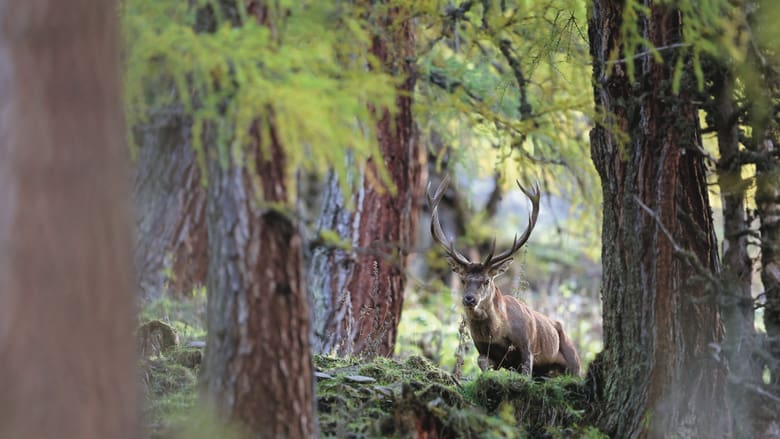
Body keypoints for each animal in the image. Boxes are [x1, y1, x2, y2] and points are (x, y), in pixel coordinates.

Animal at [428, 176, 581, 377]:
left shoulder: (527, 346)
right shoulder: (483, 350)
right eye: (463, 280)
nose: (469, 299)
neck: (497, 333)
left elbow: (526, 371)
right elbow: (482, 363)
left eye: (486, 281)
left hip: (574, 362)